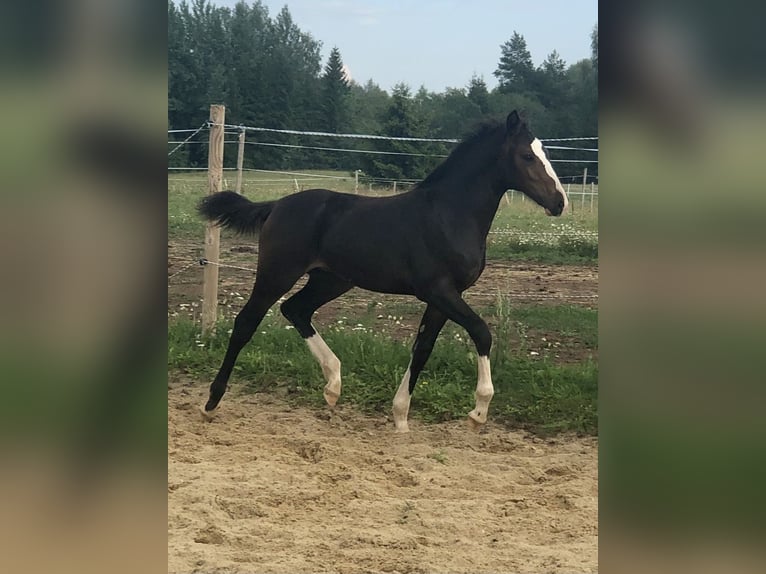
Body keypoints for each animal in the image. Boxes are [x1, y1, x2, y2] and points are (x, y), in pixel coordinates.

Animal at [198, 112, 568, 434]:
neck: (449, 215)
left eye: (544, 152)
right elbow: (481, 332)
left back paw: (333, 385)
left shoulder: (445, 297)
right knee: (246, 323)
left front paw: (401, 416)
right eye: (527, 156)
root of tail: (277, 205)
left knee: (295, 309)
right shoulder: (438, 290)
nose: (560, 202)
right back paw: (211, 402)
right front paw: (478, 412)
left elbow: (422, 349)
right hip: (277, 273)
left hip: (331, 280)